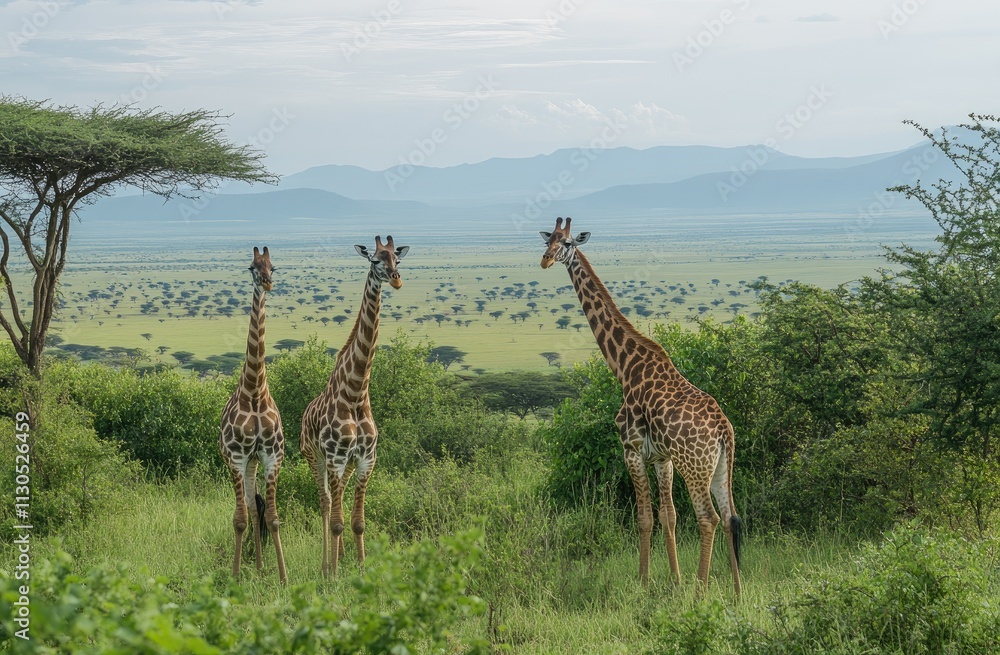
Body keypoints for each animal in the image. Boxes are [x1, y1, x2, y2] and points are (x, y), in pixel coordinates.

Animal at [298, 233, 408, 576]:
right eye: (375, 260)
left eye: (397, 259)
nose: (396, 280)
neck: (357, 392)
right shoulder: (334, 457)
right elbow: (336, 521)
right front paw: (333, 574)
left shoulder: (366, 460)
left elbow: (358, 522)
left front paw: (361, 567)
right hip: (314, 458)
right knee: (326, 504)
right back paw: (325, 563)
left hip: (343, 464)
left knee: (339, 499)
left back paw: (342, 555)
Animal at [540, 217, 744, 596]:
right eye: (549, 240)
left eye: (568, 243)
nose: (545, 260)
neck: (624, 366)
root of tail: (724, 429)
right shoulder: (662, 458)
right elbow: (668, 515)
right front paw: (673, 579)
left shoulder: (631, 449)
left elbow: (644, 517)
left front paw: (644, 580)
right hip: (720, 467)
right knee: (729, 517)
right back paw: (738, 594)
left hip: (694, 466)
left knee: (708, 518)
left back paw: (701, 590)